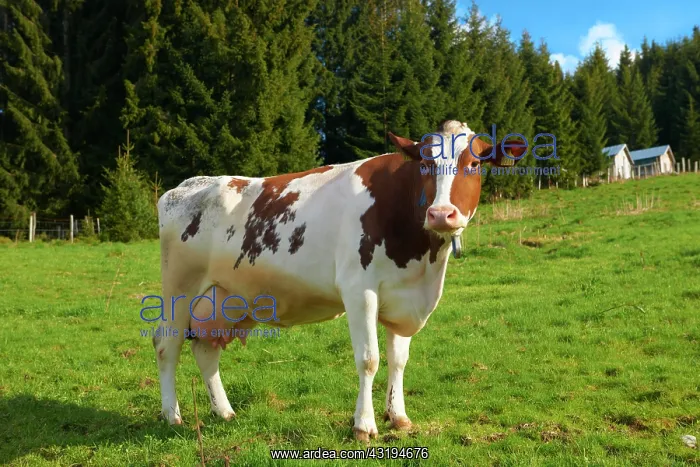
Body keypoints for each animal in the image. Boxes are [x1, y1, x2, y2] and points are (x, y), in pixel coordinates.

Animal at [153, 120, 525, 441]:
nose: (441, 214)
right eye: (424, 164)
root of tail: (186, 185)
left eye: (474, 163)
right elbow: (369, 359)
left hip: (224, 298)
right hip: (179, 291)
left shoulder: (405, 297)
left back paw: (224, 411)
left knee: (205, 350)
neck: (423, 260)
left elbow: (399, 359)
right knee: (167, 345)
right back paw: (173, 415)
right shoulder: (359, 291)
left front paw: (399, 417)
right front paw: (363, 425)